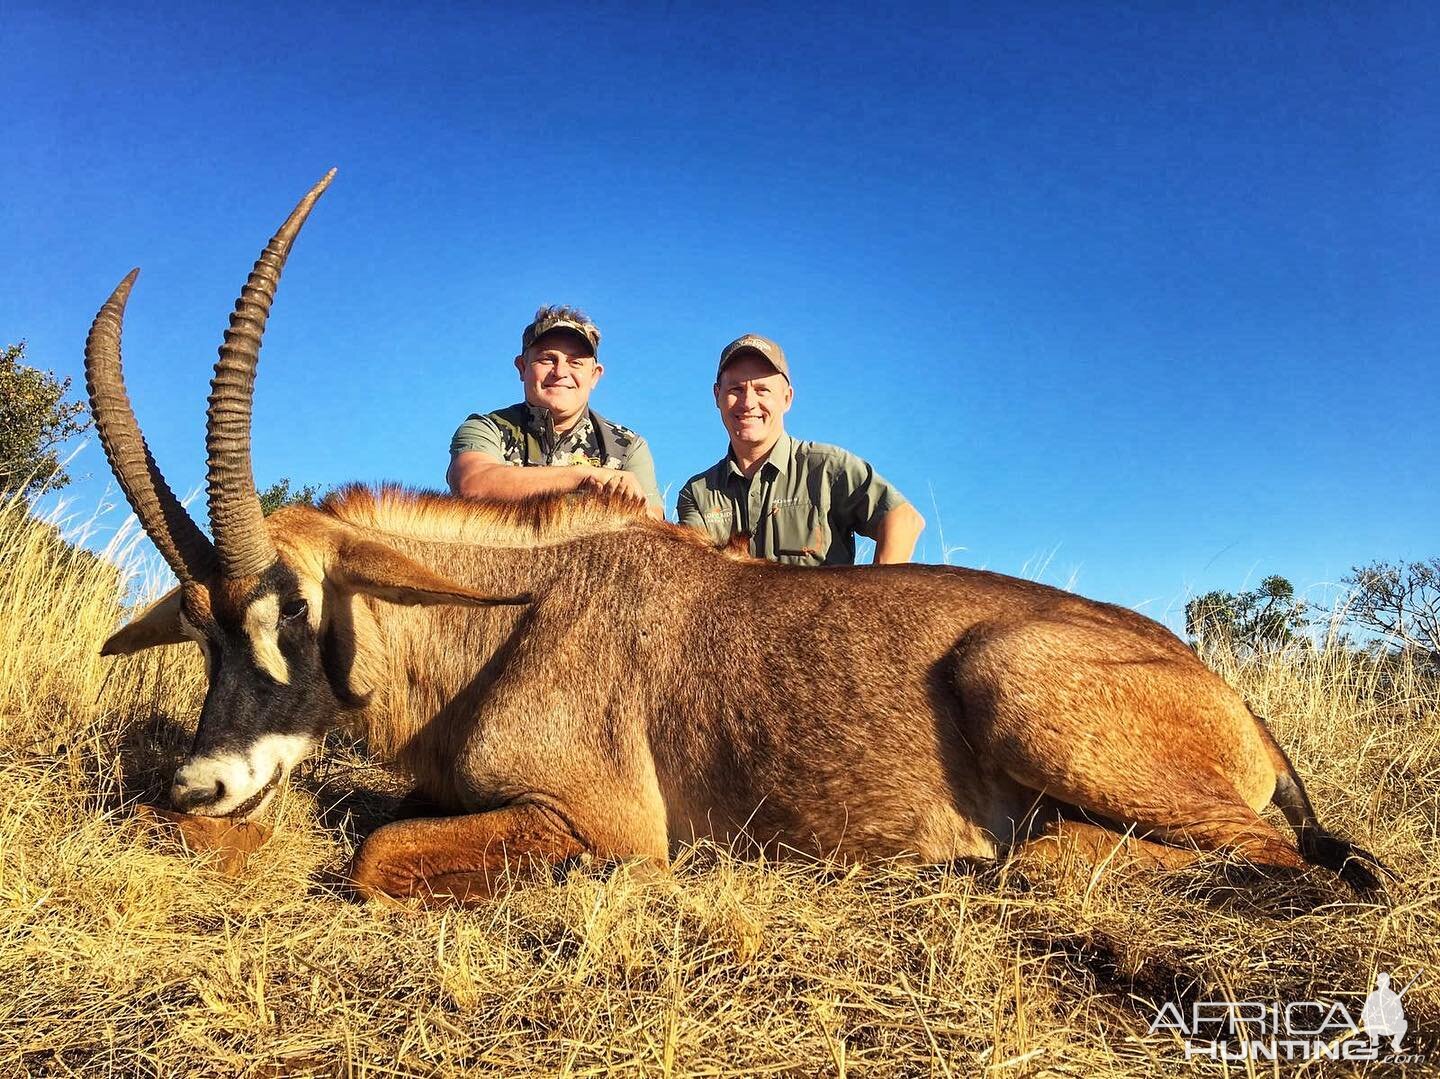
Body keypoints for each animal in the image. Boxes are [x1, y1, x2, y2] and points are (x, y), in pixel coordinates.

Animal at [87, 172, 1382, 898]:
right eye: (197, 633)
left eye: (296, 607)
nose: (200, 779)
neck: (504, 620)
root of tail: (1232, 698)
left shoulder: (607, 822)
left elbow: (374, 856)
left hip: (1015, 683)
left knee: (1256, 855)